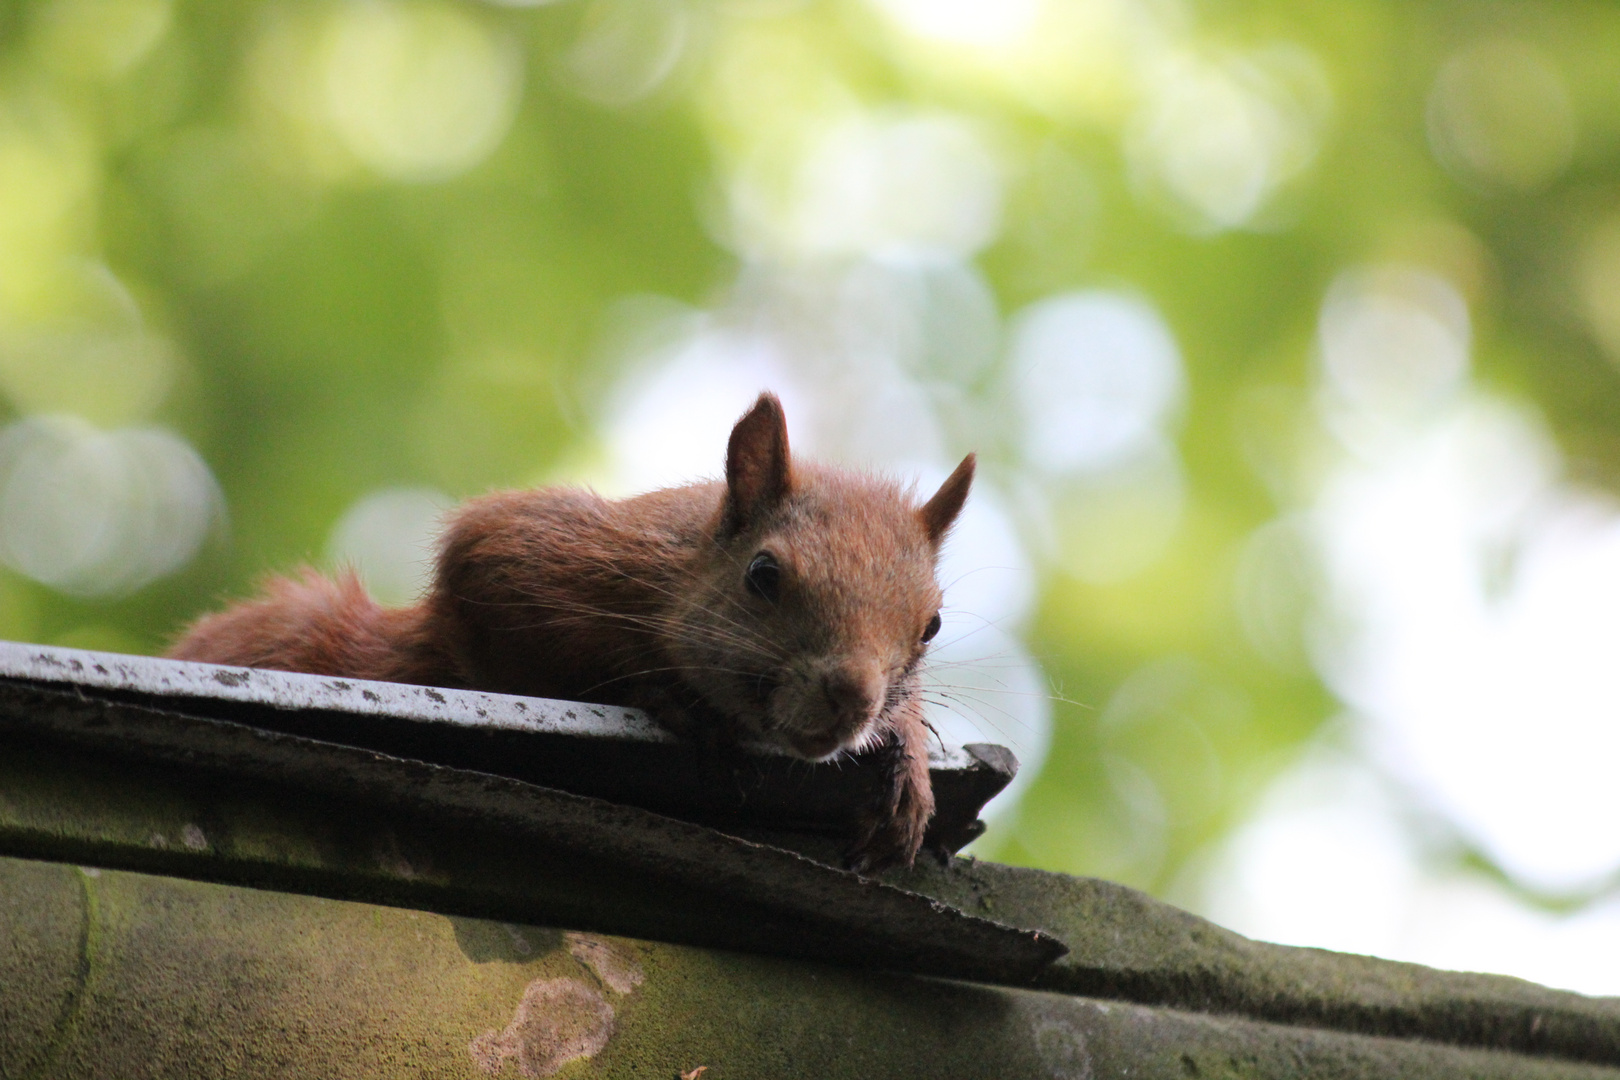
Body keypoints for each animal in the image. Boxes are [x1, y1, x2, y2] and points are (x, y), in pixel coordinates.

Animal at [164, 395, 972, 867]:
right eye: (764, 574)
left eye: (932, 624)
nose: (853, 696)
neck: (679, 572)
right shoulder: (552, 552)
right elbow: (495, 581)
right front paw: (671, 699)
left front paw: (908, 763)